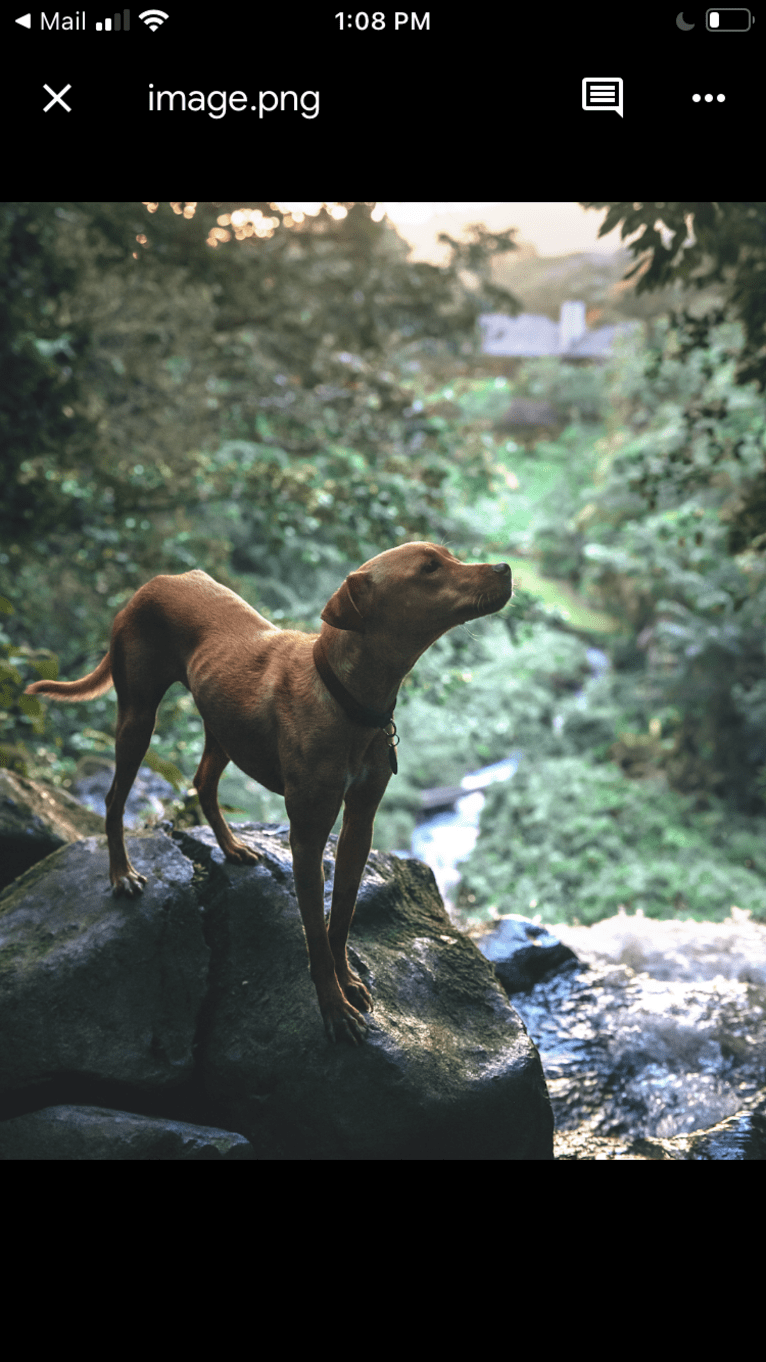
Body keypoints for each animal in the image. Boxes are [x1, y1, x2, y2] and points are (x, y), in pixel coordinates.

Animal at [25, 542, 512, 1040]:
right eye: (430, 568)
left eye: (447, 556)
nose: (505, 568)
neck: (345, 697)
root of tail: (156, 582)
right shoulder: (307, 838)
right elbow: (315, 933)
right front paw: (334, 1010)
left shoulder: (359, 825)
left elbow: (341, 918)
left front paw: (348, 982)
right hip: (138, 717)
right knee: (115, 798)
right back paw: (122, 873)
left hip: (222, 727)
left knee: (202, 784)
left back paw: (230, 846)